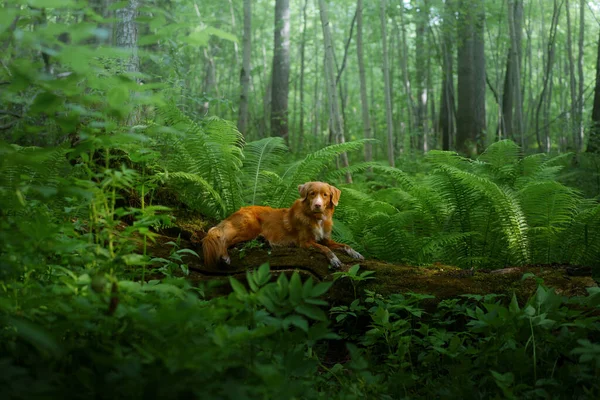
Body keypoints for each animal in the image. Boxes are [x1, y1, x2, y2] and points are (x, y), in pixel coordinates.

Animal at [202, 181, 364, 268]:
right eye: (312, 193)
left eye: (325, 195)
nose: (317, 205)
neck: (316, 218)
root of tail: (236, 212)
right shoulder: (304, 242)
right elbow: (325, 248)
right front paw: (334, 259)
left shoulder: (326, 239)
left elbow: (344, 245)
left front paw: (355, 253)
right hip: (250, 228)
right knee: (224, 239)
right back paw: (225, 256)